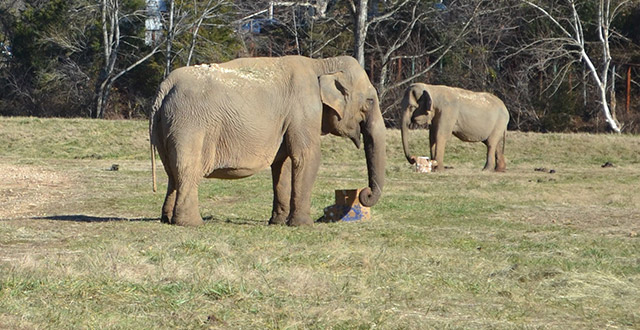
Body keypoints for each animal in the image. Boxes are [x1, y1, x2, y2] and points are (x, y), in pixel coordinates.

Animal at [151, 56, 384, 227]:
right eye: (369, 101)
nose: (363, 193)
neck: (322, 63)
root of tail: (165, 86)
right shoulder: (304, 109)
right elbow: (307, 156)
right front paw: (303, 225)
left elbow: (283, 164)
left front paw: (278, 223)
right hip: (189, 125)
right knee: (187, 170)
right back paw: (191, 223)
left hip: (167, 126)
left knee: (172, 173)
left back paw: (167, 219)